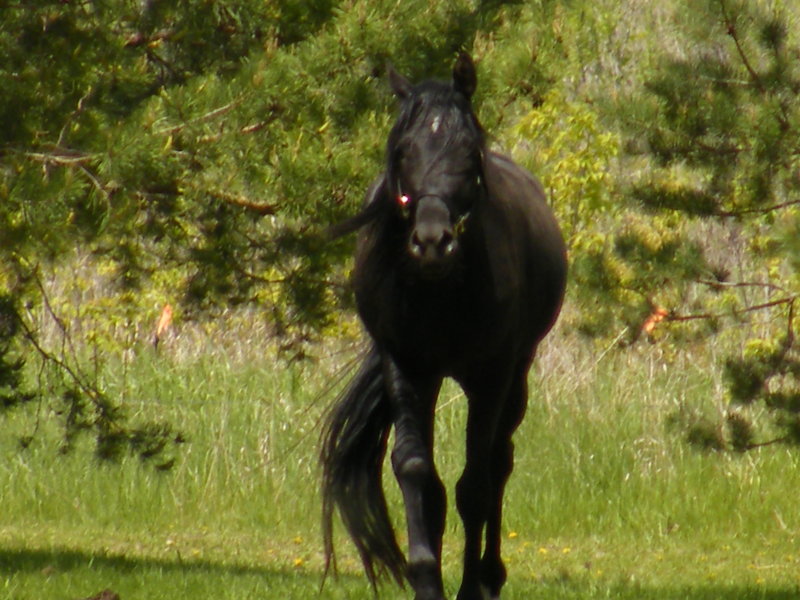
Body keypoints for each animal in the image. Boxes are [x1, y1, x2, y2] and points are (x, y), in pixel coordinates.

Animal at [320, 52, 568, 600]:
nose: (432, 241)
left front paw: (471, 585)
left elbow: (474, 483)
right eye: (403, 150)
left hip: (516, 377)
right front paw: (426, 579)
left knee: (498, 462)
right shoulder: (407, 369)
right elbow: (417, 474)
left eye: (469, 150)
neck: (441, 291)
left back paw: (491, 576)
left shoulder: (492, 376)